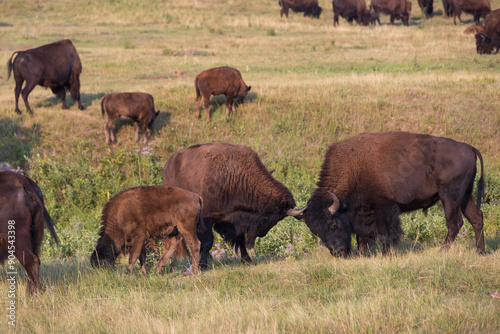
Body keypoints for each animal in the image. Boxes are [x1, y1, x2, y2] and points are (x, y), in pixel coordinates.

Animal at [162, 143, 306, 268]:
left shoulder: (236, 221)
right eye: (275, 218)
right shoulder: (206, 218)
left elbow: (240, 240)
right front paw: (202, 266)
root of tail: (167, 166)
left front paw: (248, 261)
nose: (262, 234)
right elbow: (207, 242)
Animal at [300, 132, 484, 256]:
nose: (338, 252)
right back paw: (480, 251)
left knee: (455, 222)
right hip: (465, 196)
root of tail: (467, 147)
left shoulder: (384, 207)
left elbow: (385, 234)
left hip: (450, 196)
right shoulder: (364, 213)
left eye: (333, 224)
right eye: (317, 232)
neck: (354, 168)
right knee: (476, 217)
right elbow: (362, 237)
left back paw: (442, 251)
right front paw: (362, 254)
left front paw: (386, 254)